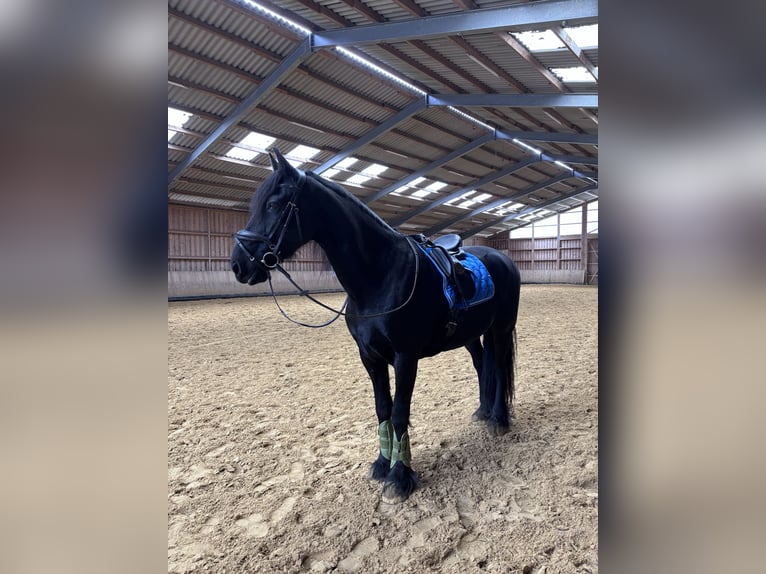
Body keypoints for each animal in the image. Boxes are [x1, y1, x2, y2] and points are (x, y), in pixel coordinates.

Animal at [231, 148, 521, 501]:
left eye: (273, 204)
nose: (239, 265)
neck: (381, 275)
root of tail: (502, 258)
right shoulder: (370, 357)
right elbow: (383, 408)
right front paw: (383, 463)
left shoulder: (406, 358)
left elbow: (399, 412)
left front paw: (401, 476)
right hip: (472, 335)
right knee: (483, 365)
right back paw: (483, 411)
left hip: (501, 329)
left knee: (499, 366)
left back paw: (499, 420)